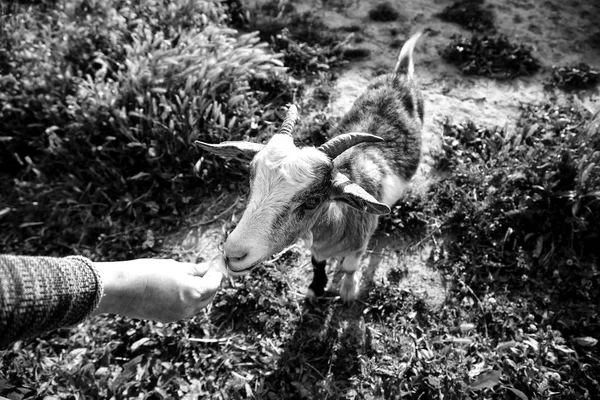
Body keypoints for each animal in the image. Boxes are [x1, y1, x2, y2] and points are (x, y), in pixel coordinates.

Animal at [196, 32, 422, 300]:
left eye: (313, 201)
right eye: (250, 181)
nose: (234, 254)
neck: (339, 218)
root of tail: (400, 75)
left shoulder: (360, 244)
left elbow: (350, 266)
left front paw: (348, 290)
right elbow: (317, 263)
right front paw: (316, 287)